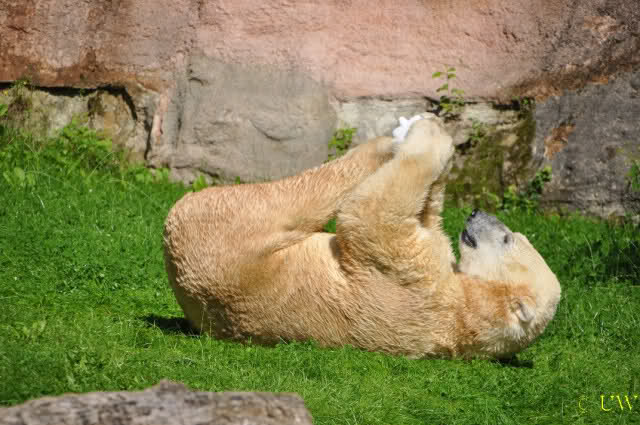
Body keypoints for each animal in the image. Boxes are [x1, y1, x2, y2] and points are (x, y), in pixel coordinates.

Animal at [163, 113, 561, 359]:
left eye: (508, 239)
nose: (477, 213)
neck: (468, 316)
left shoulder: (420, 283)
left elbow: (371, 213)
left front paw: (429, 132)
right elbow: (428, 222)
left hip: (225, 233)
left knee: (294, 195)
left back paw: (391, 140)